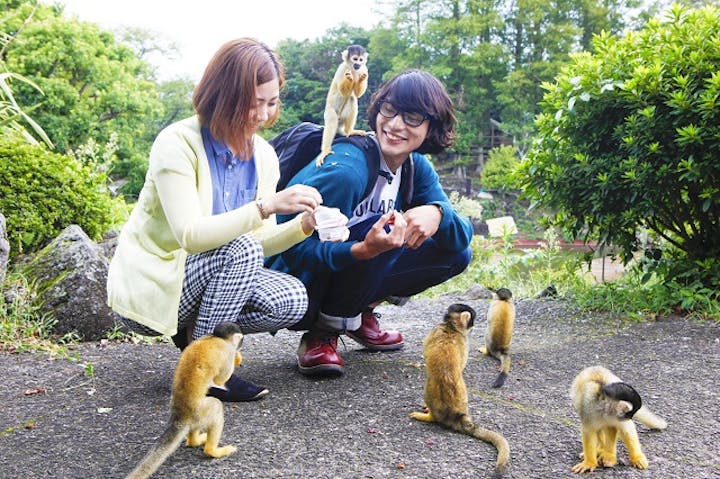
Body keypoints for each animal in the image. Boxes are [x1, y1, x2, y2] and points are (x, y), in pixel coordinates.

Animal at [124, 322, 245, 479]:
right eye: (241, 340)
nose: (241, 345)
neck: (216, 337)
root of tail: (179, 415)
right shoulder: (227, 352)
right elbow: (220, 379)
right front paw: (237, 359)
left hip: (194, 415)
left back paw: (195, 441)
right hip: (199, 412)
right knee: (216, 406)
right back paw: (213, 451)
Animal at [410, 306, 512, 478]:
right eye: (473, 319)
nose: (473, 325)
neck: (451, 327)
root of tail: (458, 415)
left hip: (433, 393)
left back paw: (429, 416)